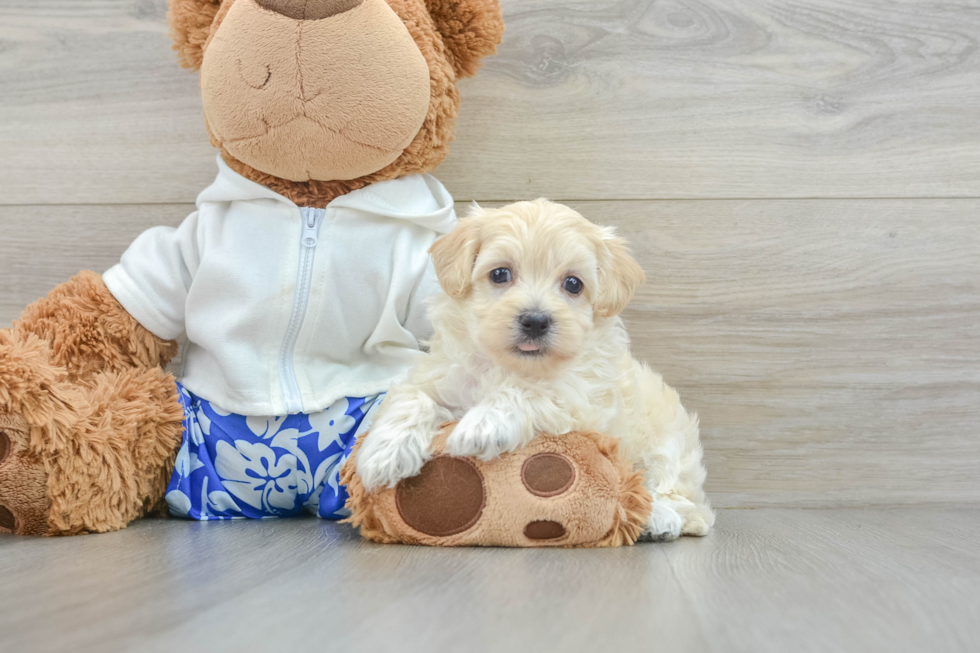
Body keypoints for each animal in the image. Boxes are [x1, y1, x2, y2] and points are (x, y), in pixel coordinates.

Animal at [356, 199, 716, 540]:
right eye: (499, 274)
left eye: (573, 284)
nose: (535, 320)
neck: (509, 365)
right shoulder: (438, 376)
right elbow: (411, 398)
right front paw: (384, 454)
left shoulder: (581, 399)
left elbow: (531, 389)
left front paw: (484, 425)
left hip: (668, 444)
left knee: (685, 501)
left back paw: (659, 518)